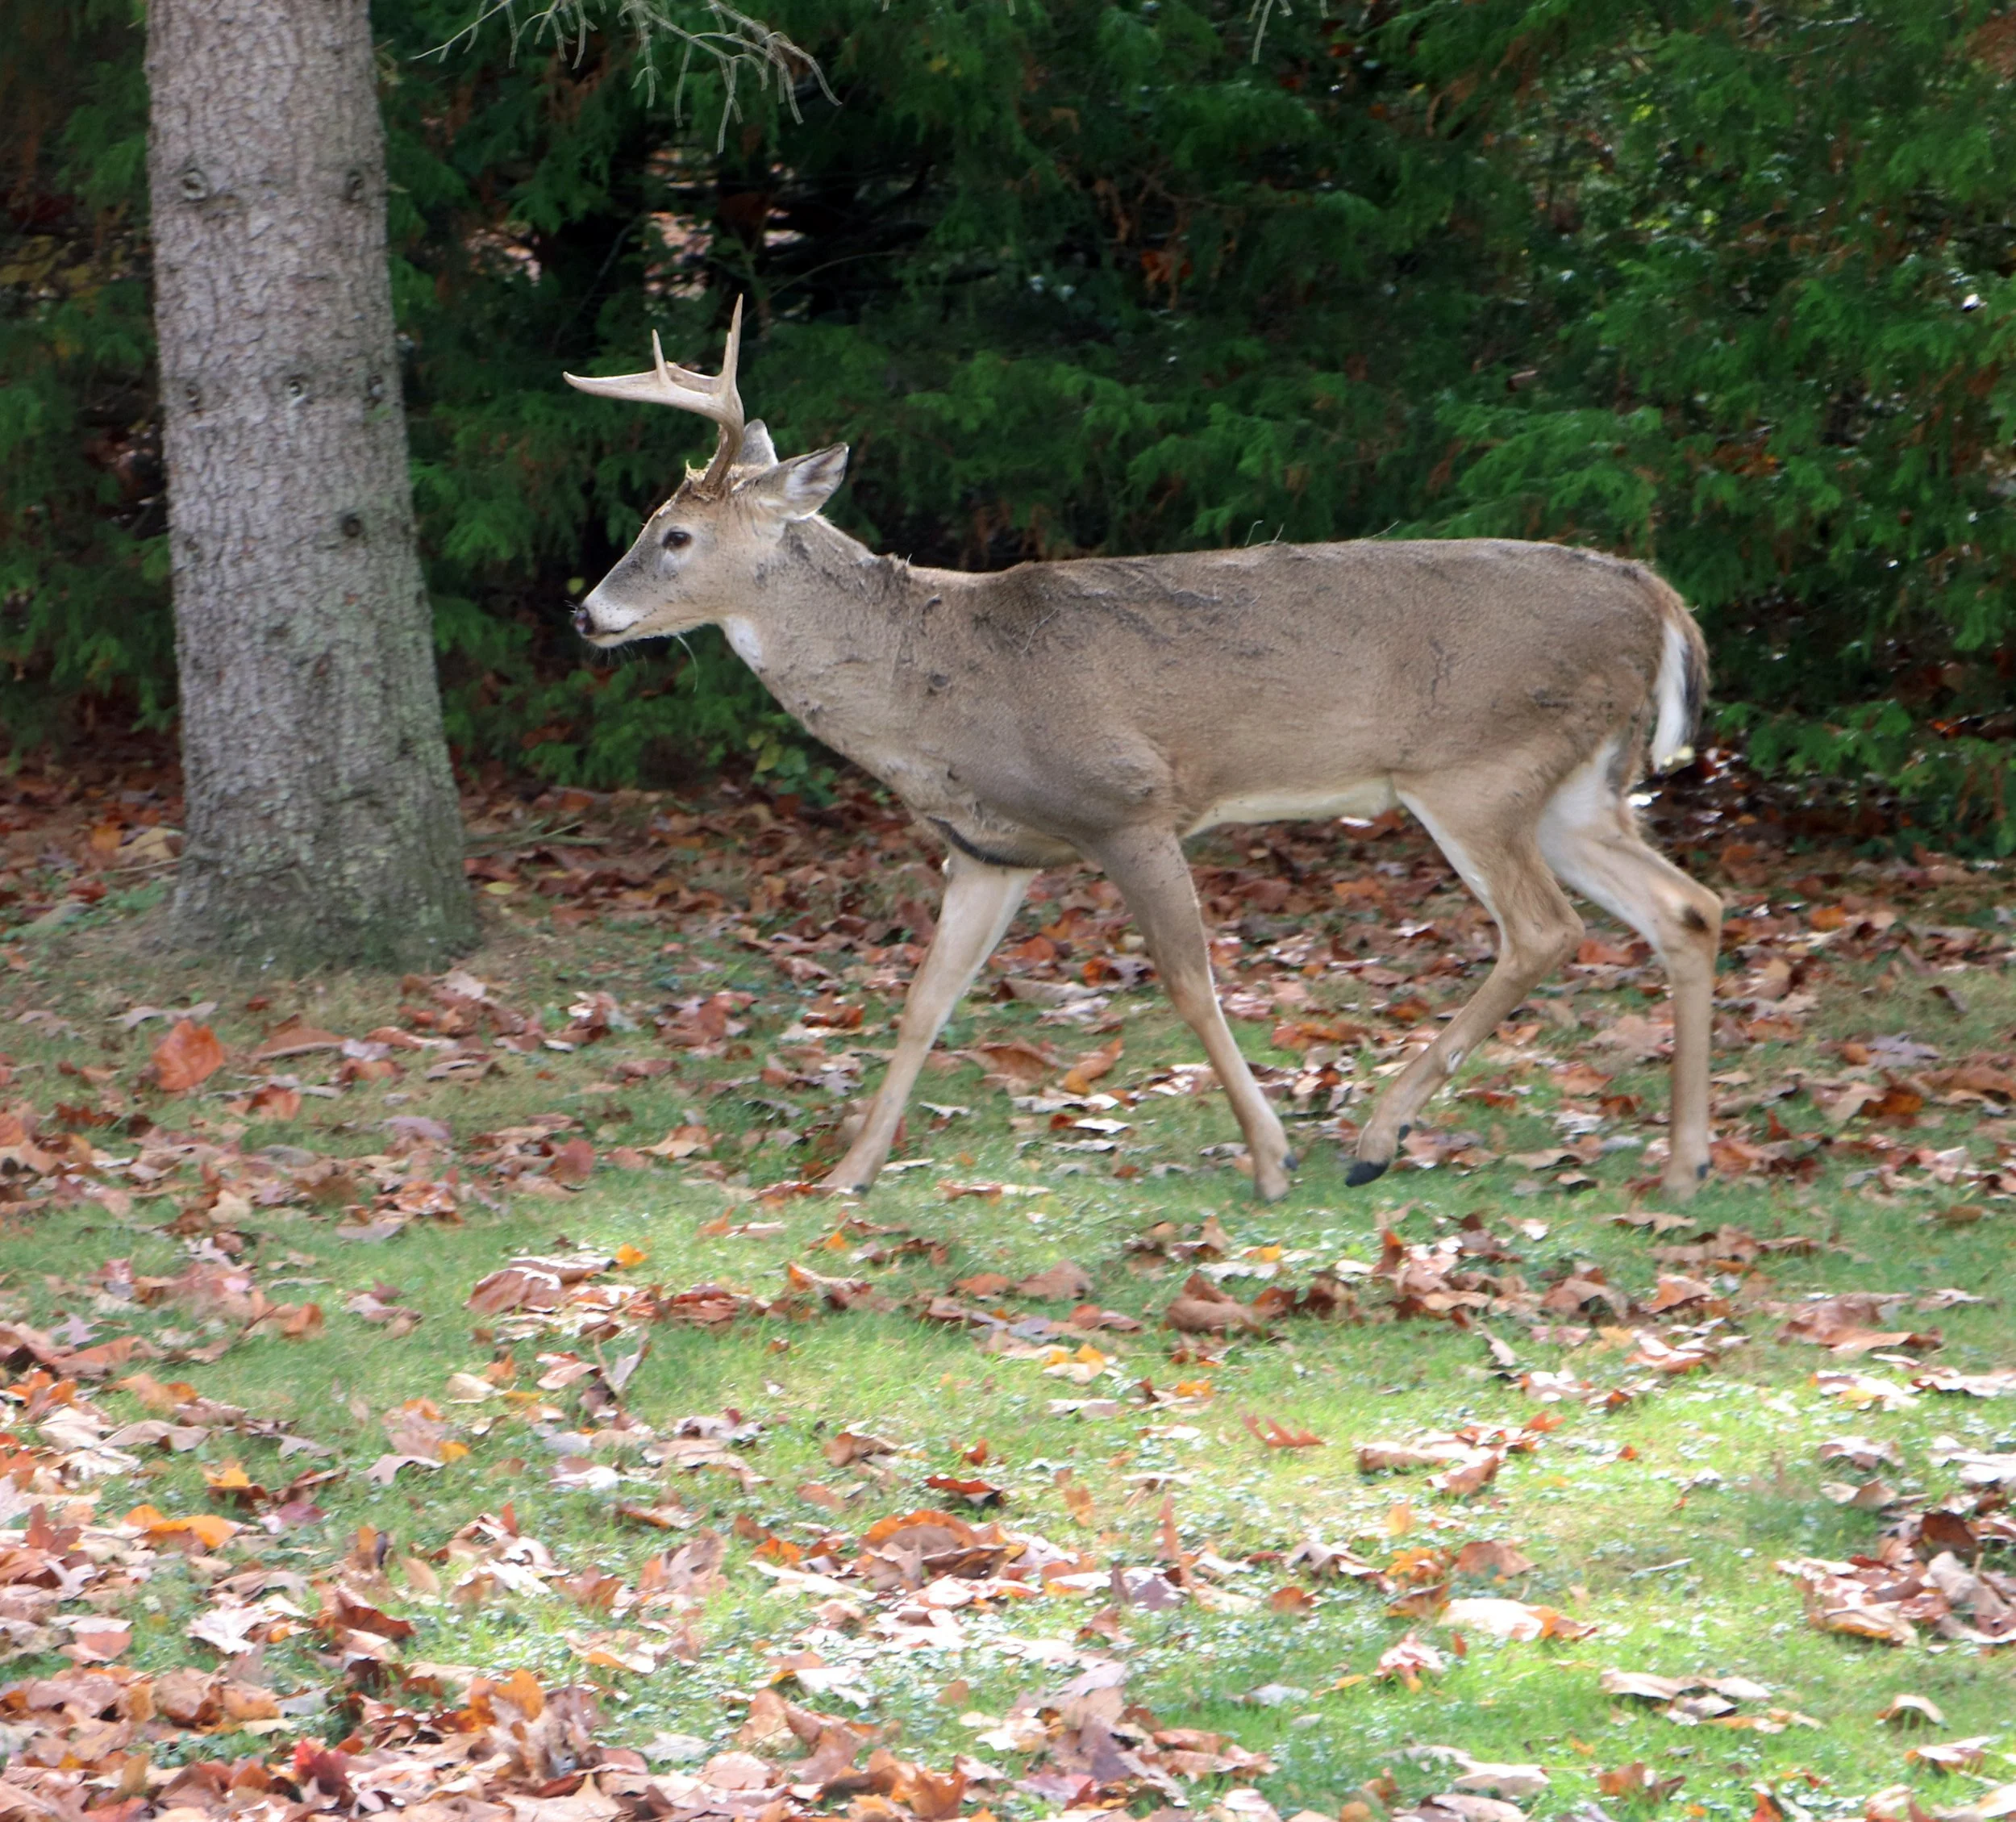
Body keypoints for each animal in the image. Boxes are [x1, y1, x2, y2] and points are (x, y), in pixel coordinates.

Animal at [564, 301, 1722, 1203]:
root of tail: (1657, 596)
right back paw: (1681, 1165)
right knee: (1687, 907)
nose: (585, 614)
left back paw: (1375, 1139)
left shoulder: (1128, 805)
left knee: (1546, 929)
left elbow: (1189, 979)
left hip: (1476, 767)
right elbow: (925, 1001)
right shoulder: (990, 849)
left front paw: (1270, 1158)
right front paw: (848, 1173)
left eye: (674, 535)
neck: (933, 680)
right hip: (1573, 783)